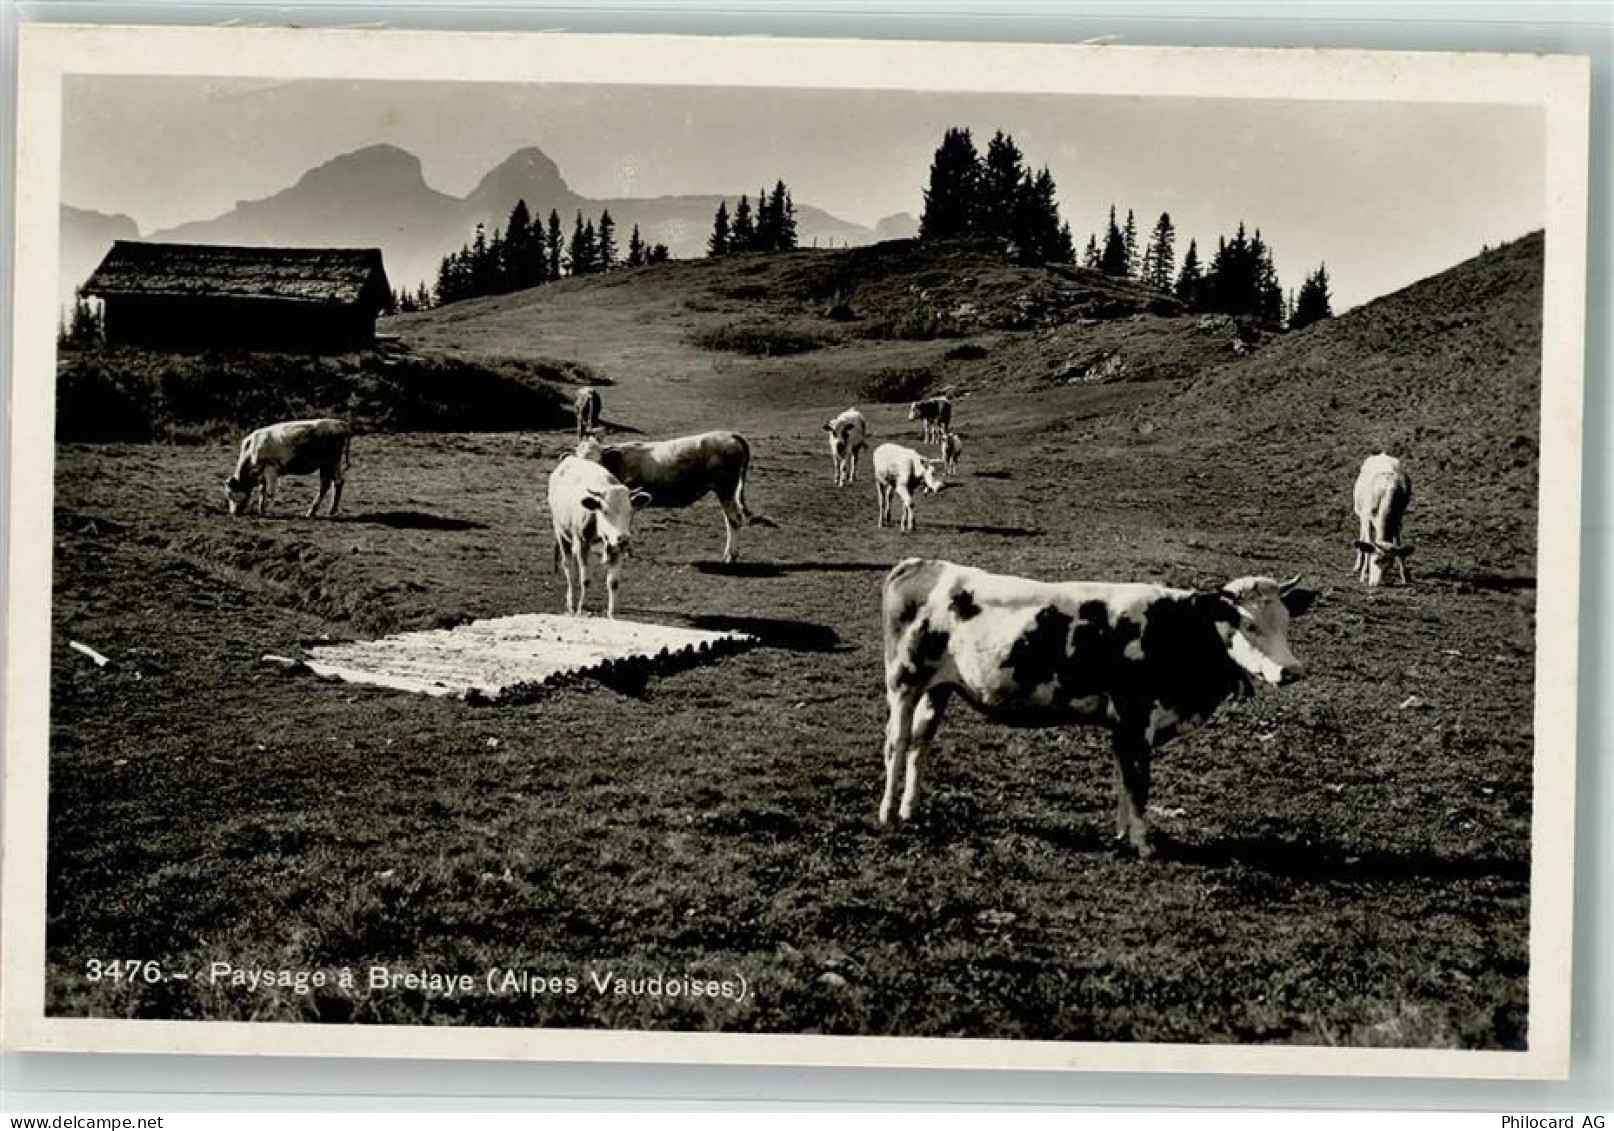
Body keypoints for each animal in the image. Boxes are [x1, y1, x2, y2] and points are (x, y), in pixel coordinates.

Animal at [546, 455, 652, 619]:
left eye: (630, 511)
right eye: (605, 511)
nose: (624, 539)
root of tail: (569, 458)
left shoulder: (617, 548)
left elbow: (613, 582)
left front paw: (612, 614)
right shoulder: (582, 544)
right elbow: (585, 580)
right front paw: (581, 608)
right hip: (560, 531)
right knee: (568, 566)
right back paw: (571, 602)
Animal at [879, 558, 1316, 858]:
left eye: (1285, 622)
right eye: (1249, 625)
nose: (1291, 671)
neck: (1178, 628)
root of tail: (923, 565)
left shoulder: (1124, 726)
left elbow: (1123, 776)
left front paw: (1122, 834)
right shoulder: (1137, 719)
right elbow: (1139, 783)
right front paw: (1143, 844)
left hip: (938, 690)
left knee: (921, 742)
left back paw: (910, 808)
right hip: (904, 683)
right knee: (897, 743)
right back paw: (887, 814)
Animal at [1352, 453, 1414, 586]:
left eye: (1390, 565)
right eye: (1375, 560)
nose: (1377, 583)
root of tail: (1382, 454)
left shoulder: (1397, 521)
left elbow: (1399, 545)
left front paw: (1405, 576)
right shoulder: (1366, 518)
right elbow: (1368, 545)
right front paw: (1364, 574)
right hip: (1359, 511)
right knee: (1362, 536)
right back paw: (1357, 566)